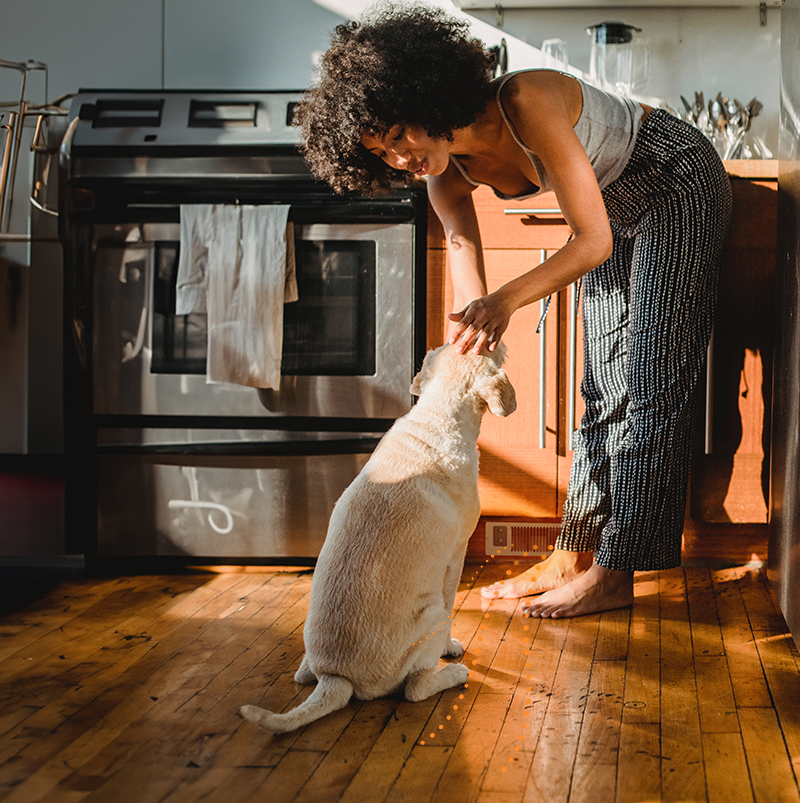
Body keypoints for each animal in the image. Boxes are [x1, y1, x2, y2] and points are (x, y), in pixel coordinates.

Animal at [238, 342, 516, 732]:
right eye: (488, 349)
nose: (495, 338)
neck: (436, 417)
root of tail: (335, 678)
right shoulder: (456, 555)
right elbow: (451, 601)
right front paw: (451, 649)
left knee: (303, 674)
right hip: (433, 617)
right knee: (415, 687)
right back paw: (454, 673)